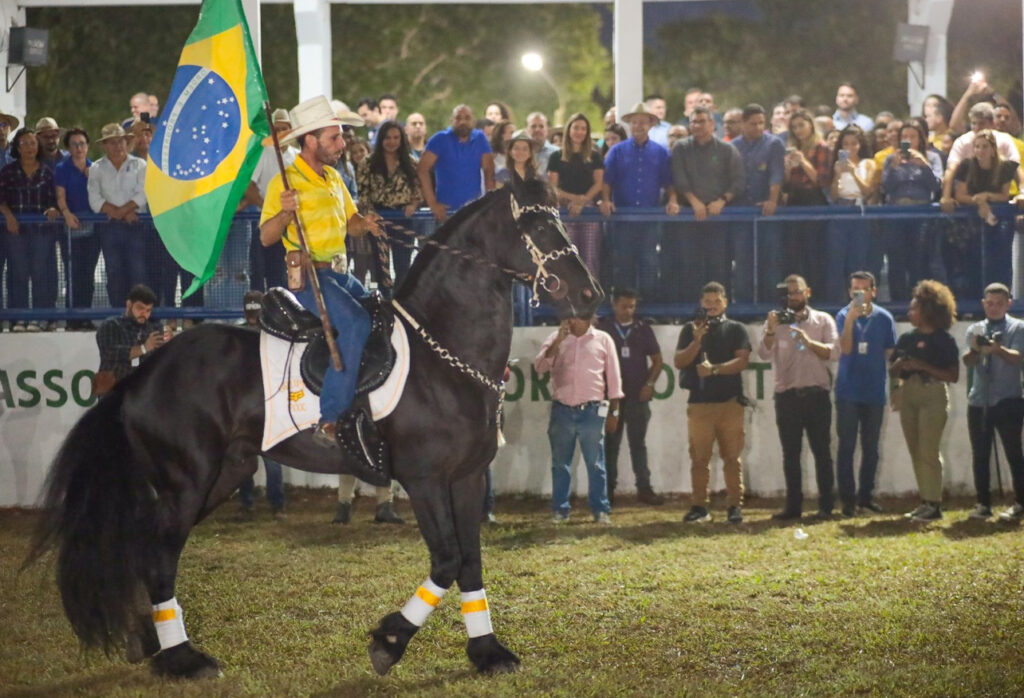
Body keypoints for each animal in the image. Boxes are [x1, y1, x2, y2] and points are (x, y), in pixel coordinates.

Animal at [25, 178, 598, 675]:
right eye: (541, 228)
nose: (589, 295)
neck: (442, 353)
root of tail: (143, 371)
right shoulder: (425, 480)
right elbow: (447, 562)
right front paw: (389, 641)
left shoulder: (467, 478)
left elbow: (471, 564)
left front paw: (487, 652)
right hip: (186, 481)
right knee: (160, 556)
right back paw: (183, 660)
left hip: (223, 476)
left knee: (149, 551)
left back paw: (150, 641)